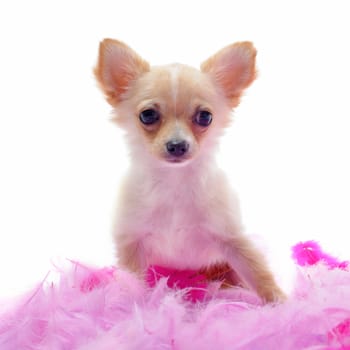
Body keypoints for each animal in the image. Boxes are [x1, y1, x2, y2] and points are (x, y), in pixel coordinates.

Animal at [94, 37, 286, 300]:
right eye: (148, 115)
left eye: (205, 117)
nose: (177, 145)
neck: (174, 183)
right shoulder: (132, 243)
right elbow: (131, 283)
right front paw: (128, 304)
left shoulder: (231, 238)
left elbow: (258, 272)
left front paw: (282, 303)